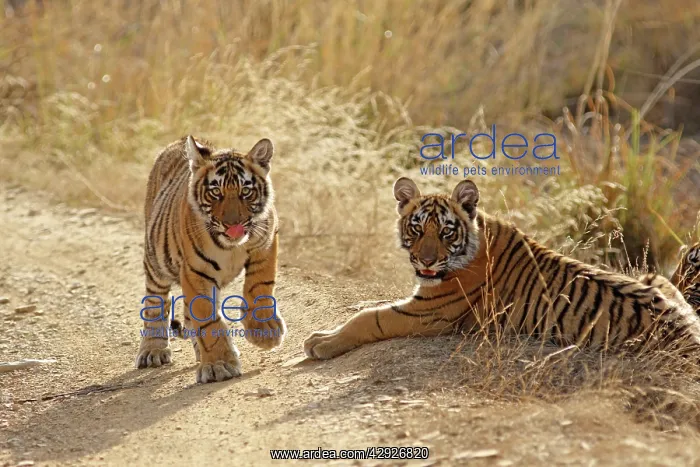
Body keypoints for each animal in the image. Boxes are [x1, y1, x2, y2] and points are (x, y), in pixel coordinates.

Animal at [136, 135, 285, 383]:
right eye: (216, 192)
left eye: (246, 191)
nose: (233, 225)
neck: (232, 247)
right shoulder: (196, 271)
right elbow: (207, 318)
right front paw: (218, 365)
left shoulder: (265, 242)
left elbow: (260, 285)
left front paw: (264, 331)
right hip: (157, 263)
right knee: (156, 303)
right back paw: (153, 351)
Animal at [304, 177, 700, 360]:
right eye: (417, 228)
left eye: (445, 231)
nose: (427, 261)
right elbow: (368, 307)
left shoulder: (429, 312)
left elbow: (370, 318)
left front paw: (320, 342)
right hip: (657, 278)